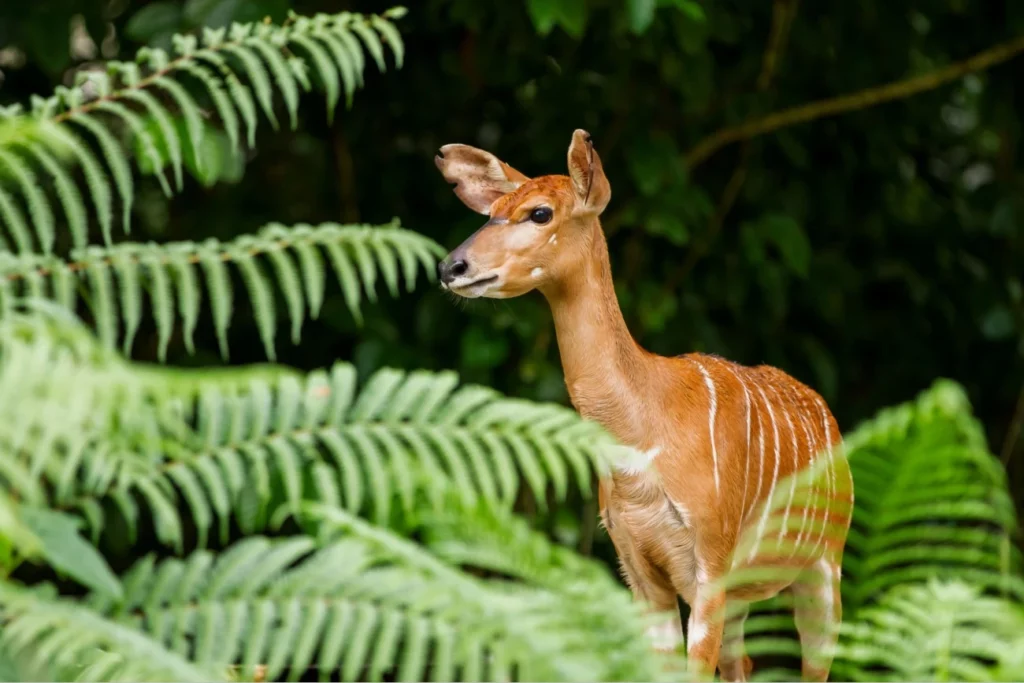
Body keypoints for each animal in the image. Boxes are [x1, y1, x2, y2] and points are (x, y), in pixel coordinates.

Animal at [432, 129, 856, 683]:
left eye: (540, 212)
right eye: (492, 211)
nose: (450, 266)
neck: (645, 427)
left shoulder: (709, 561)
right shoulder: (638, 569)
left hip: (823, 568)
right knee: (743, 661)